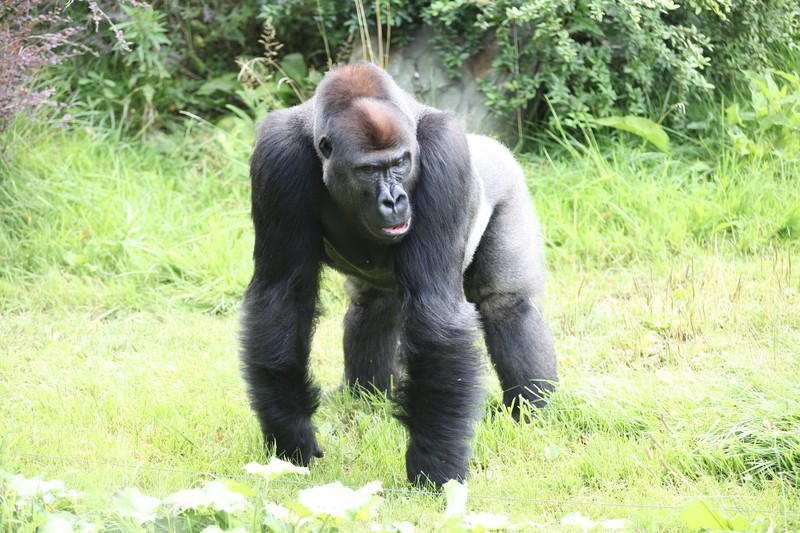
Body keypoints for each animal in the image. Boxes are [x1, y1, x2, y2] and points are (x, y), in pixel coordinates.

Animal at [241, 62, 560, 486]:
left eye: (400, 164)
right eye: (368, 170)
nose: (393, 200)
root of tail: (490, 144)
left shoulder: (445, 153)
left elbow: (437, 312)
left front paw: (435, 465)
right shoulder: (277, 155)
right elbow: (283, 295)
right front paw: (290, 435)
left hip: (506, 177)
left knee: (506, 304)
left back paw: (532, 410)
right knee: (374, 305)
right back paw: (367, 396)